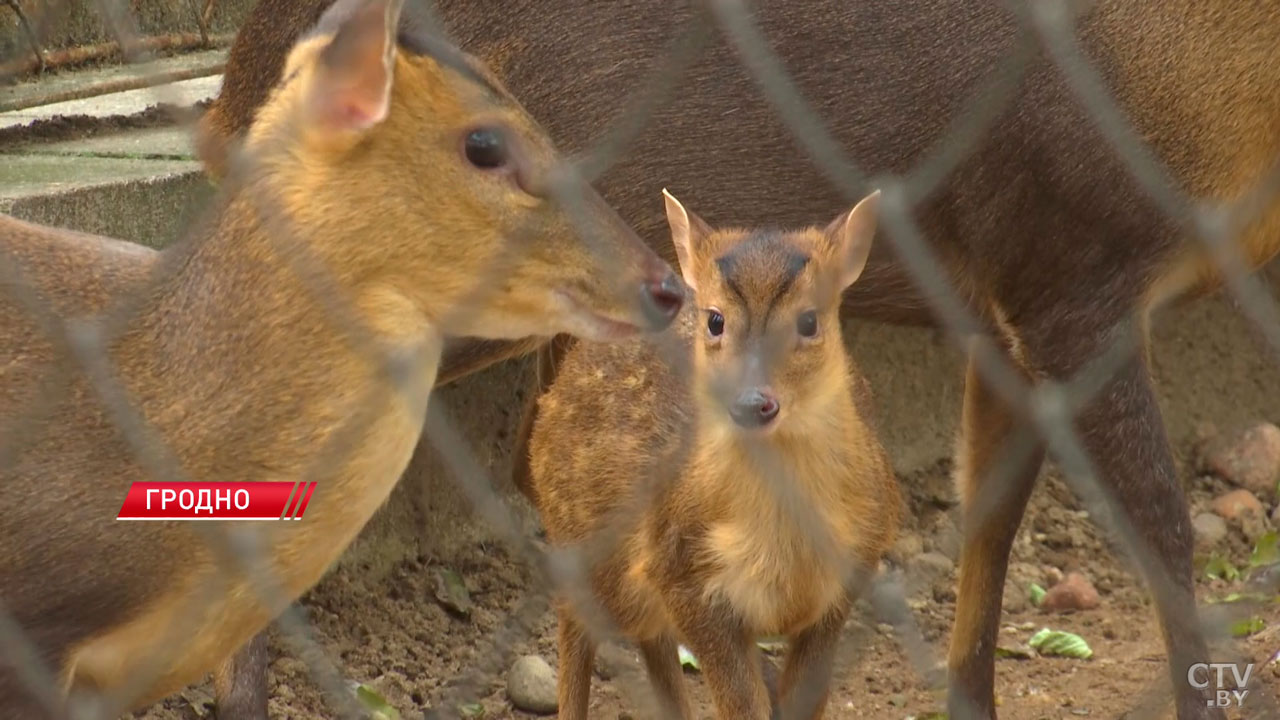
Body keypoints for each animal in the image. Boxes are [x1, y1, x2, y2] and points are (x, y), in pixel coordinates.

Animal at [522, 188, 901, 712]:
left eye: (809, 321)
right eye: (716, 320)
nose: (752, 401)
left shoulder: (850, 574)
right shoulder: (684, 573)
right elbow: (741, 704)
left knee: (654, 646)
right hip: (581, 542)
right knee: (574, 625)